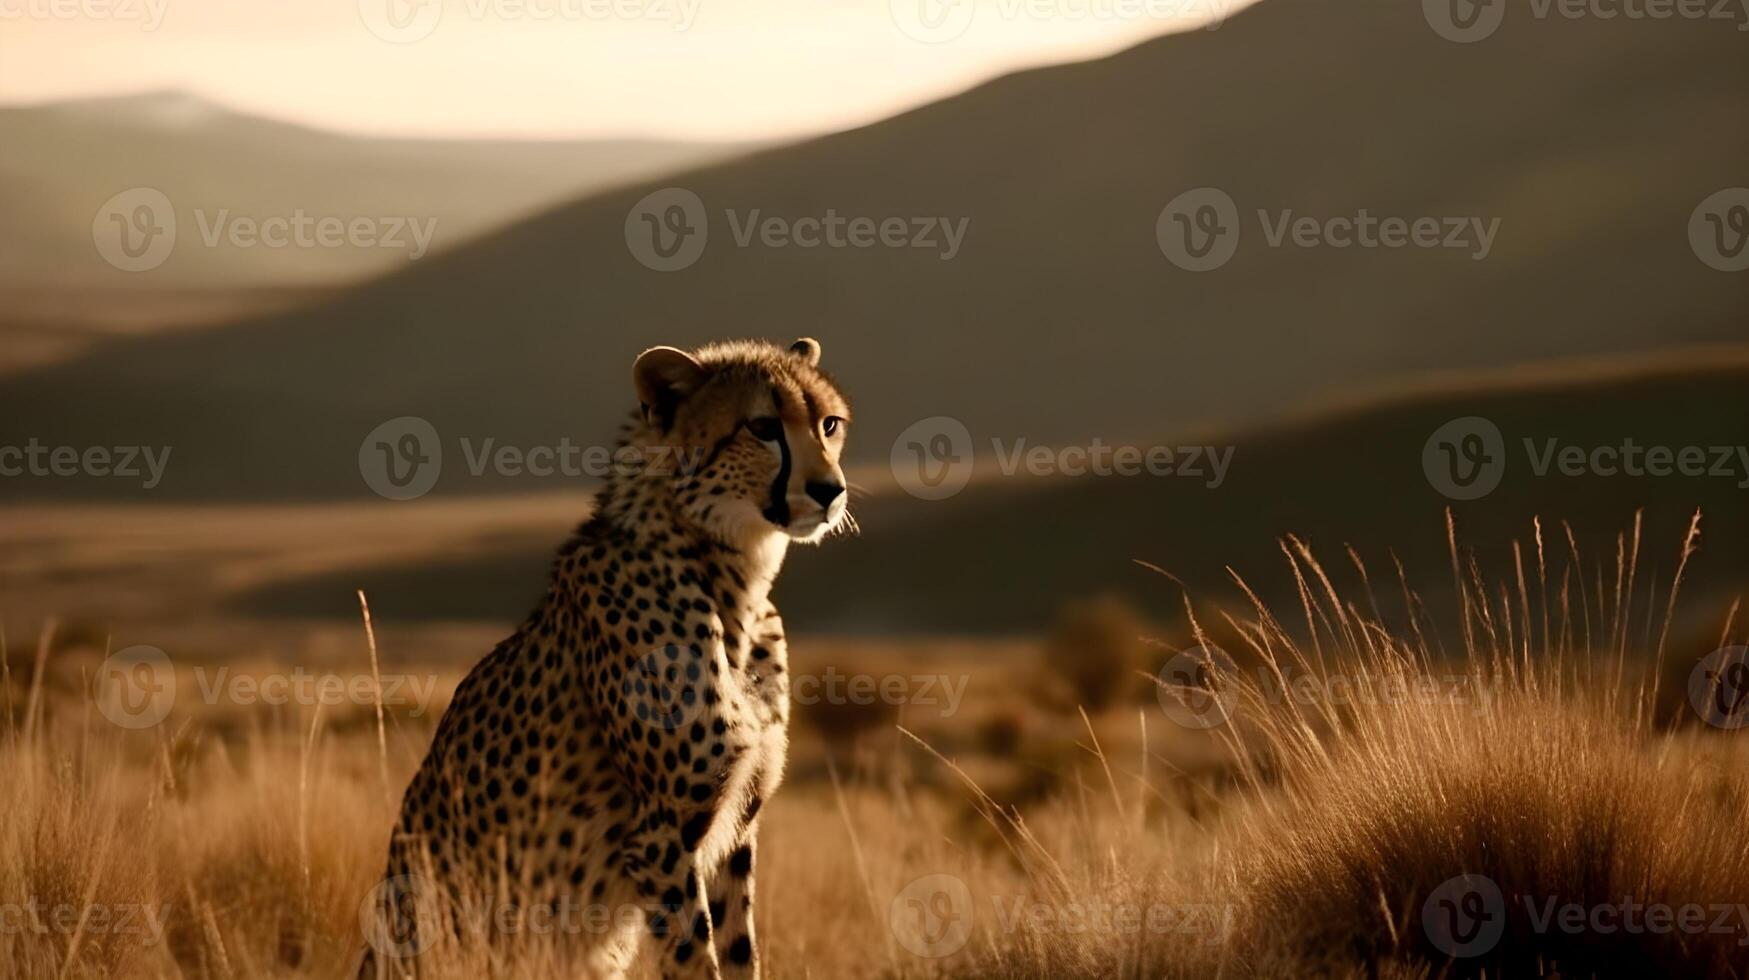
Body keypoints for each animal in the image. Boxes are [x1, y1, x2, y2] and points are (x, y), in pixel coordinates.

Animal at [358, 334, 850, 973]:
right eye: (763, 426)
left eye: (829, 424)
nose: (831, 491)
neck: (732, 578)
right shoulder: (660, 834)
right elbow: (695, 958)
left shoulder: (737, 829)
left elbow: (741, 952)